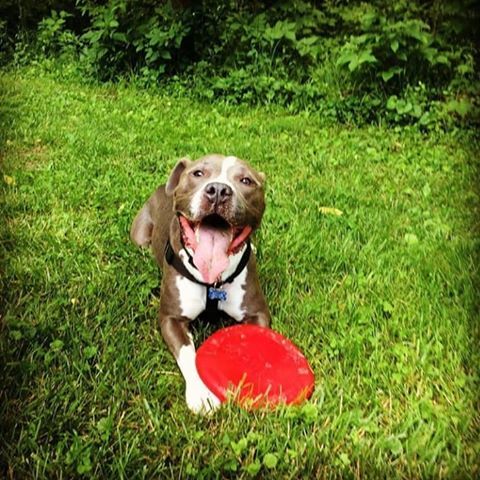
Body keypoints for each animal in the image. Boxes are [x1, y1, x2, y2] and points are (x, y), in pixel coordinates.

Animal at [130, 154, 270, 412]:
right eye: (198, 173)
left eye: (246, 180)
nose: (219, 190)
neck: (213, 282)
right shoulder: (171, 319)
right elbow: (188, 353)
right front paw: (201, 393)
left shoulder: (257, 313)